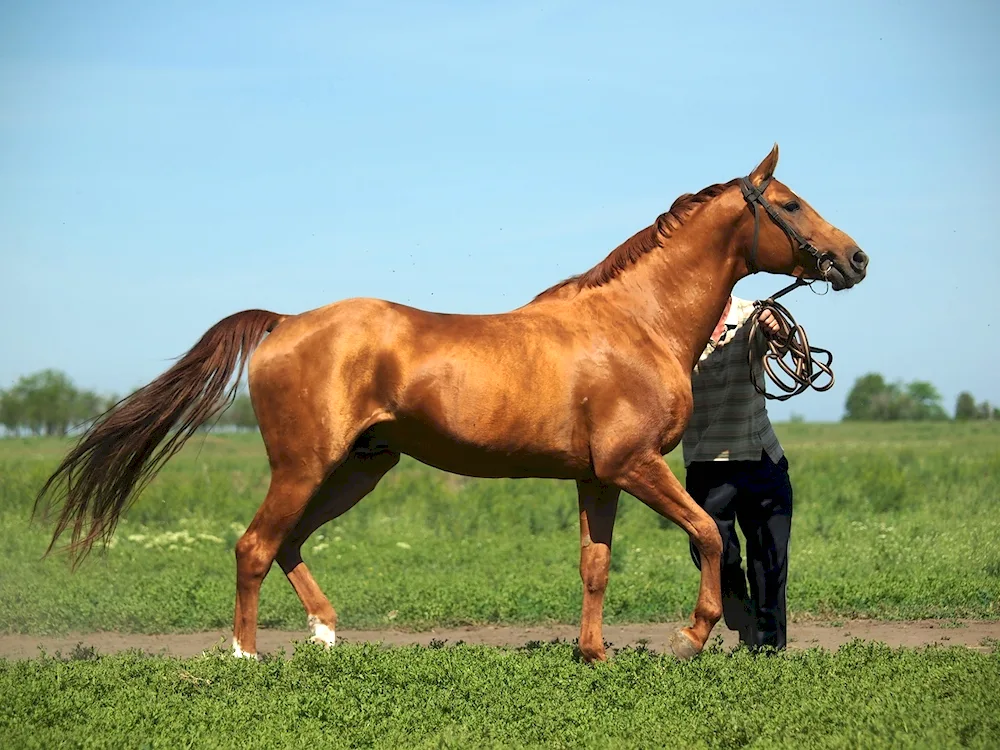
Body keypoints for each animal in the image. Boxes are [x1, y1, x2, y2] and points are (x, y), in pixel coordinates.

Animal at [33, 144, 868, 660]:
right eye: (790, 203)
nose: (855, 258)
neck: (635, 323)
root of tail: (284, 322)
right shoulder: (635, 467)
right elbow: (708, 536)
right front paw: (687, 640)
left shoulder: (596, 477)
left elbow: (595, 565)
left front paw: (593, 654)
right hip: (305, 465)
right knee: (255, 546)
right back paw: (245, 655)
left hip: (359, 468)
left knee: (289, 543)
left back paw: (326, 636)